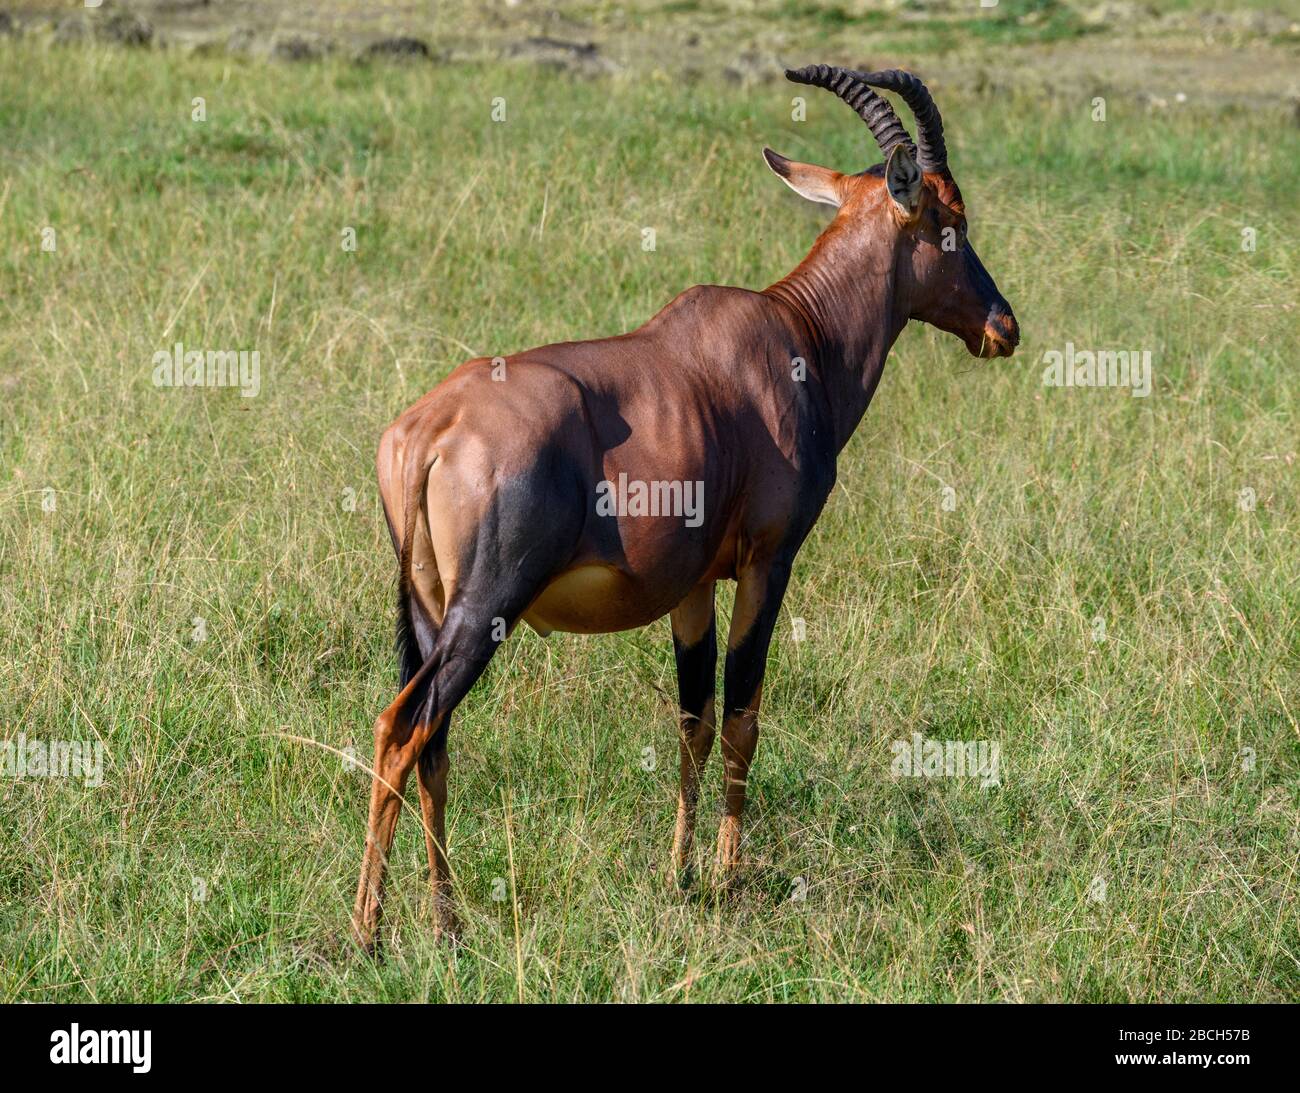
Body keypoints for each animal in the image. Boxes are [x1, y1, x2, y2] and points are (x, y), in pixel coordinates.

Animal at [351, 64, 1019, 946]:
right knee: (403, 727)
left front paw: (681, 872)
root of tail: (428, 429)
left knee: (435, 743)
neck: (792, 334)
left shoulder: (693, 585)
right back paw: (367, 931)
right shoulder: (769, 562)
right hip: (483, 606)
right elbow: (742, 713)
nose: (1003, 326)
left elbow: (691, 720)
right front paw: (730, 875)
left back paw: (447, 921)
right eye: (949, 217)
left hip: (427, 609)